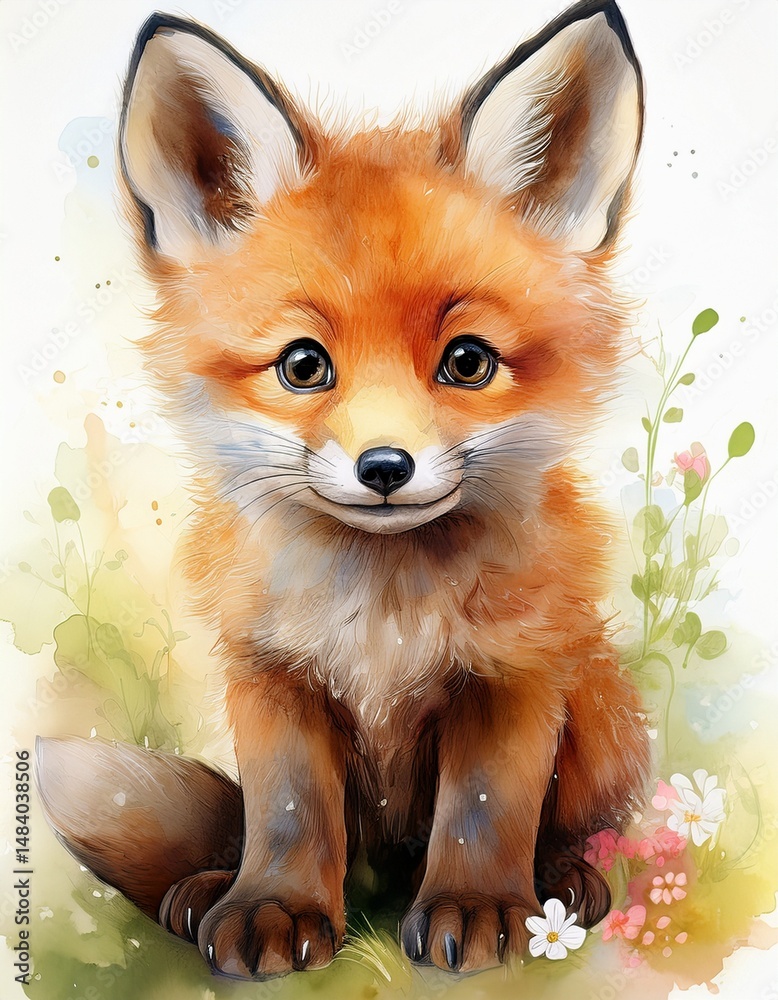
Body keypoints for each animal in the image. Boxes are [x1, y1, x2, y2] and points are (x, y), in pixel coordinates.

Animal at [36, 0, 652, 981]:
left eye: (468, 361)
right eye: (303, 366)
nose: (385, 468)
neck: (383, 610)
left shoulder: (512, 673)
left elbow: (486, 808)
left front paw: (481, 907)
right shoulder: (271, 677)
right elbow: (288, 814)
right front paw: (275, 909)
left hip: (594, 706)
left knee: (568, 825)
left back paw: (561, 881)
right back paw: (211, 888)